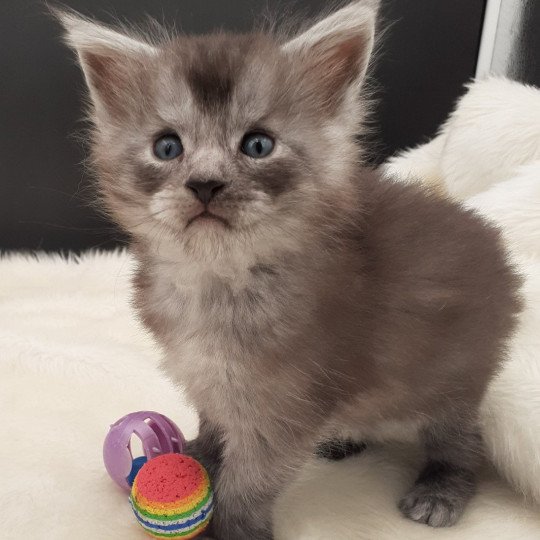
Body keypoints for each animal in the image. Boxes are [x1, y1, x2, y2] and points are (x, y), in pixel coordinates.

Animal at [60, 2, 524, 536]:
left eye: (258, 145)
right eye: (167, 147)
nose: (205, 184)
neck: (218, 280)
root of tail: (496, 252)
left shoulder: (286, 403)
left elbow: (251, 479)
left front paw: (233, 527)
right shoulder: (212, 381)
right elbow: (216, 425)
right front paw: (200, 456)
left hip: (450, 378)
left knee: (464, 439)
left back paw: (441, 487)